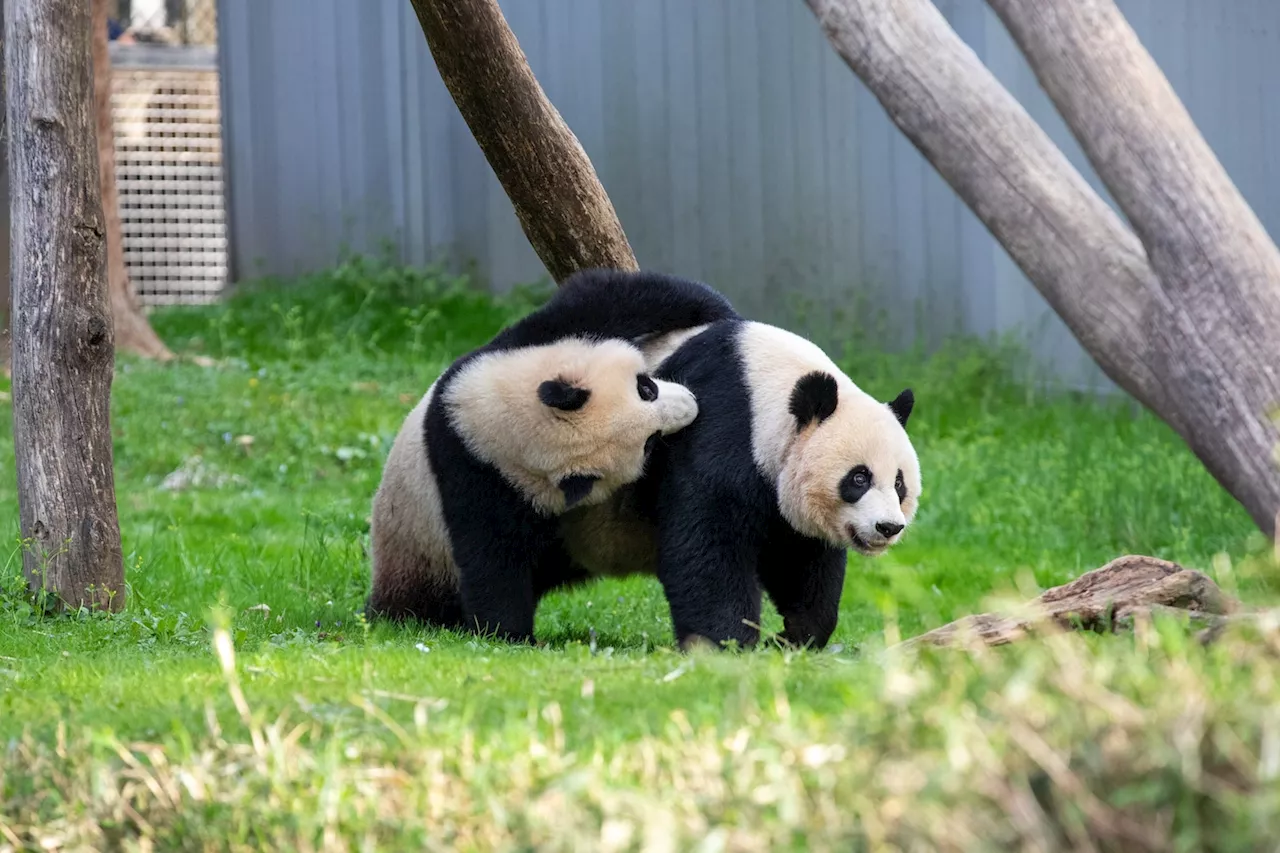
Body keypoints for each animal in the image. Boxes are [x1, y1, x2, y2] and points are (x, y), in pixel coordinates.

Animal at [366, 266, 737, 637]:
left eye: (645, 388)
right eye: (649, 442)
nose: (691, 406)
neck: (493, 416)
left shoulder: (515, 347)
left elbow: (610, 296)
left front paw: (721, 313)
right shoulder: (475, 475)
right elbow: (492, 555)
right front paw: (509, 634)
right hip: (418, 552)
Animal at [560, 315, 921, 648]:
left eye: (899, 484)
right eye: (859, 478)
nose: (888, 527)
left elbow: (801, 559)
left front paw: (792, 637)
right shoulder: (719, 428)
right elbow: (710, 543)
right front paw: (728, 642)